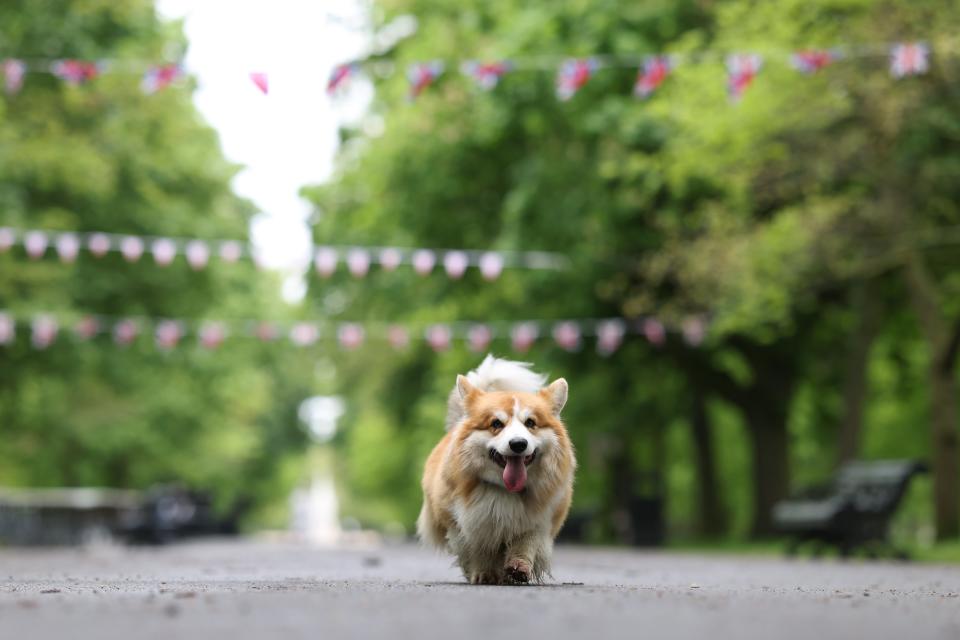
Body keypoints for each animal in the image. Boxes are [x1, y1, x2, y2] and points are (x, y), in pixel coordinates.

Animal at [416, 356, 572, 584]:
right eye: (496, 423)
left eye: (530, 423)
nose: (518, 444)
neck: (505, 490)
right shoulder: (466, 523)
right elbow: (478, 549)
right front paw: (484, 573)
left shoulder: (539, 520)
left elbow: (527, 542)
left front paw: (519, 567)